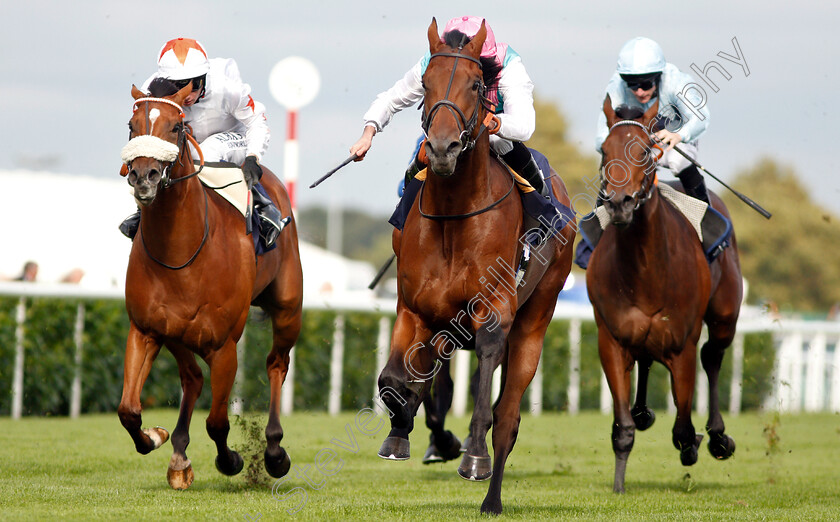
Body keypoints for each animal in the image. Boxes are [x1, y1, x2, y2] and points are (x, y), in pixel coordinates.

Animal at [116, 82, 304, 488]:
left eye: (176, 127)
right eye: (132, 125)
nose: (143, 176)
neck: (182, 253)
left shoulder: (225, 346)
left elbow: (217, 422)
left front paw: (232, 460)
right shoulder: (145, 330)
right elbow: (128, 410)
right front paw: (157, 437)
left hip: (287, 309)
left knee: (276, 363)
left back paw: (274, 450)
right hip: (176, 334)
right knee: (192, 377)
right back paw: (179, 456)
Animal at [376, 19, 576, 512]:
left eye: (474, 84)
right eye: (426, 84)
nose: (442, 148)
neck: (453, 218)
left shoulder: (493, 312)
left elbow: (487, 401)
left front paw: (472, 456)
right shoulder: (415, 308)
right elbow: (394, 379)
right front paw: (400, 432)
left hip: (535, 320)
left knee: (508, 416)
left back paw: (491, 496)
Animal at [584, 97, 740, 492]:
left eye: (643, 150)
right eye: (604, 150)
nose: (620, 203)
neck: (646, 271)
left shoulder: (681, 344)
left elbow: (683, 428)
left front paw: (697, 443)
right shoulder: (612, 340)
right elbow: (623, 428)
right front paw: (619, 484)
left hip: (724, 317)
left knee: (712, 356)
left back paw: (718, 437)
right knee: (646, 361)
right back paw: (643, 412)